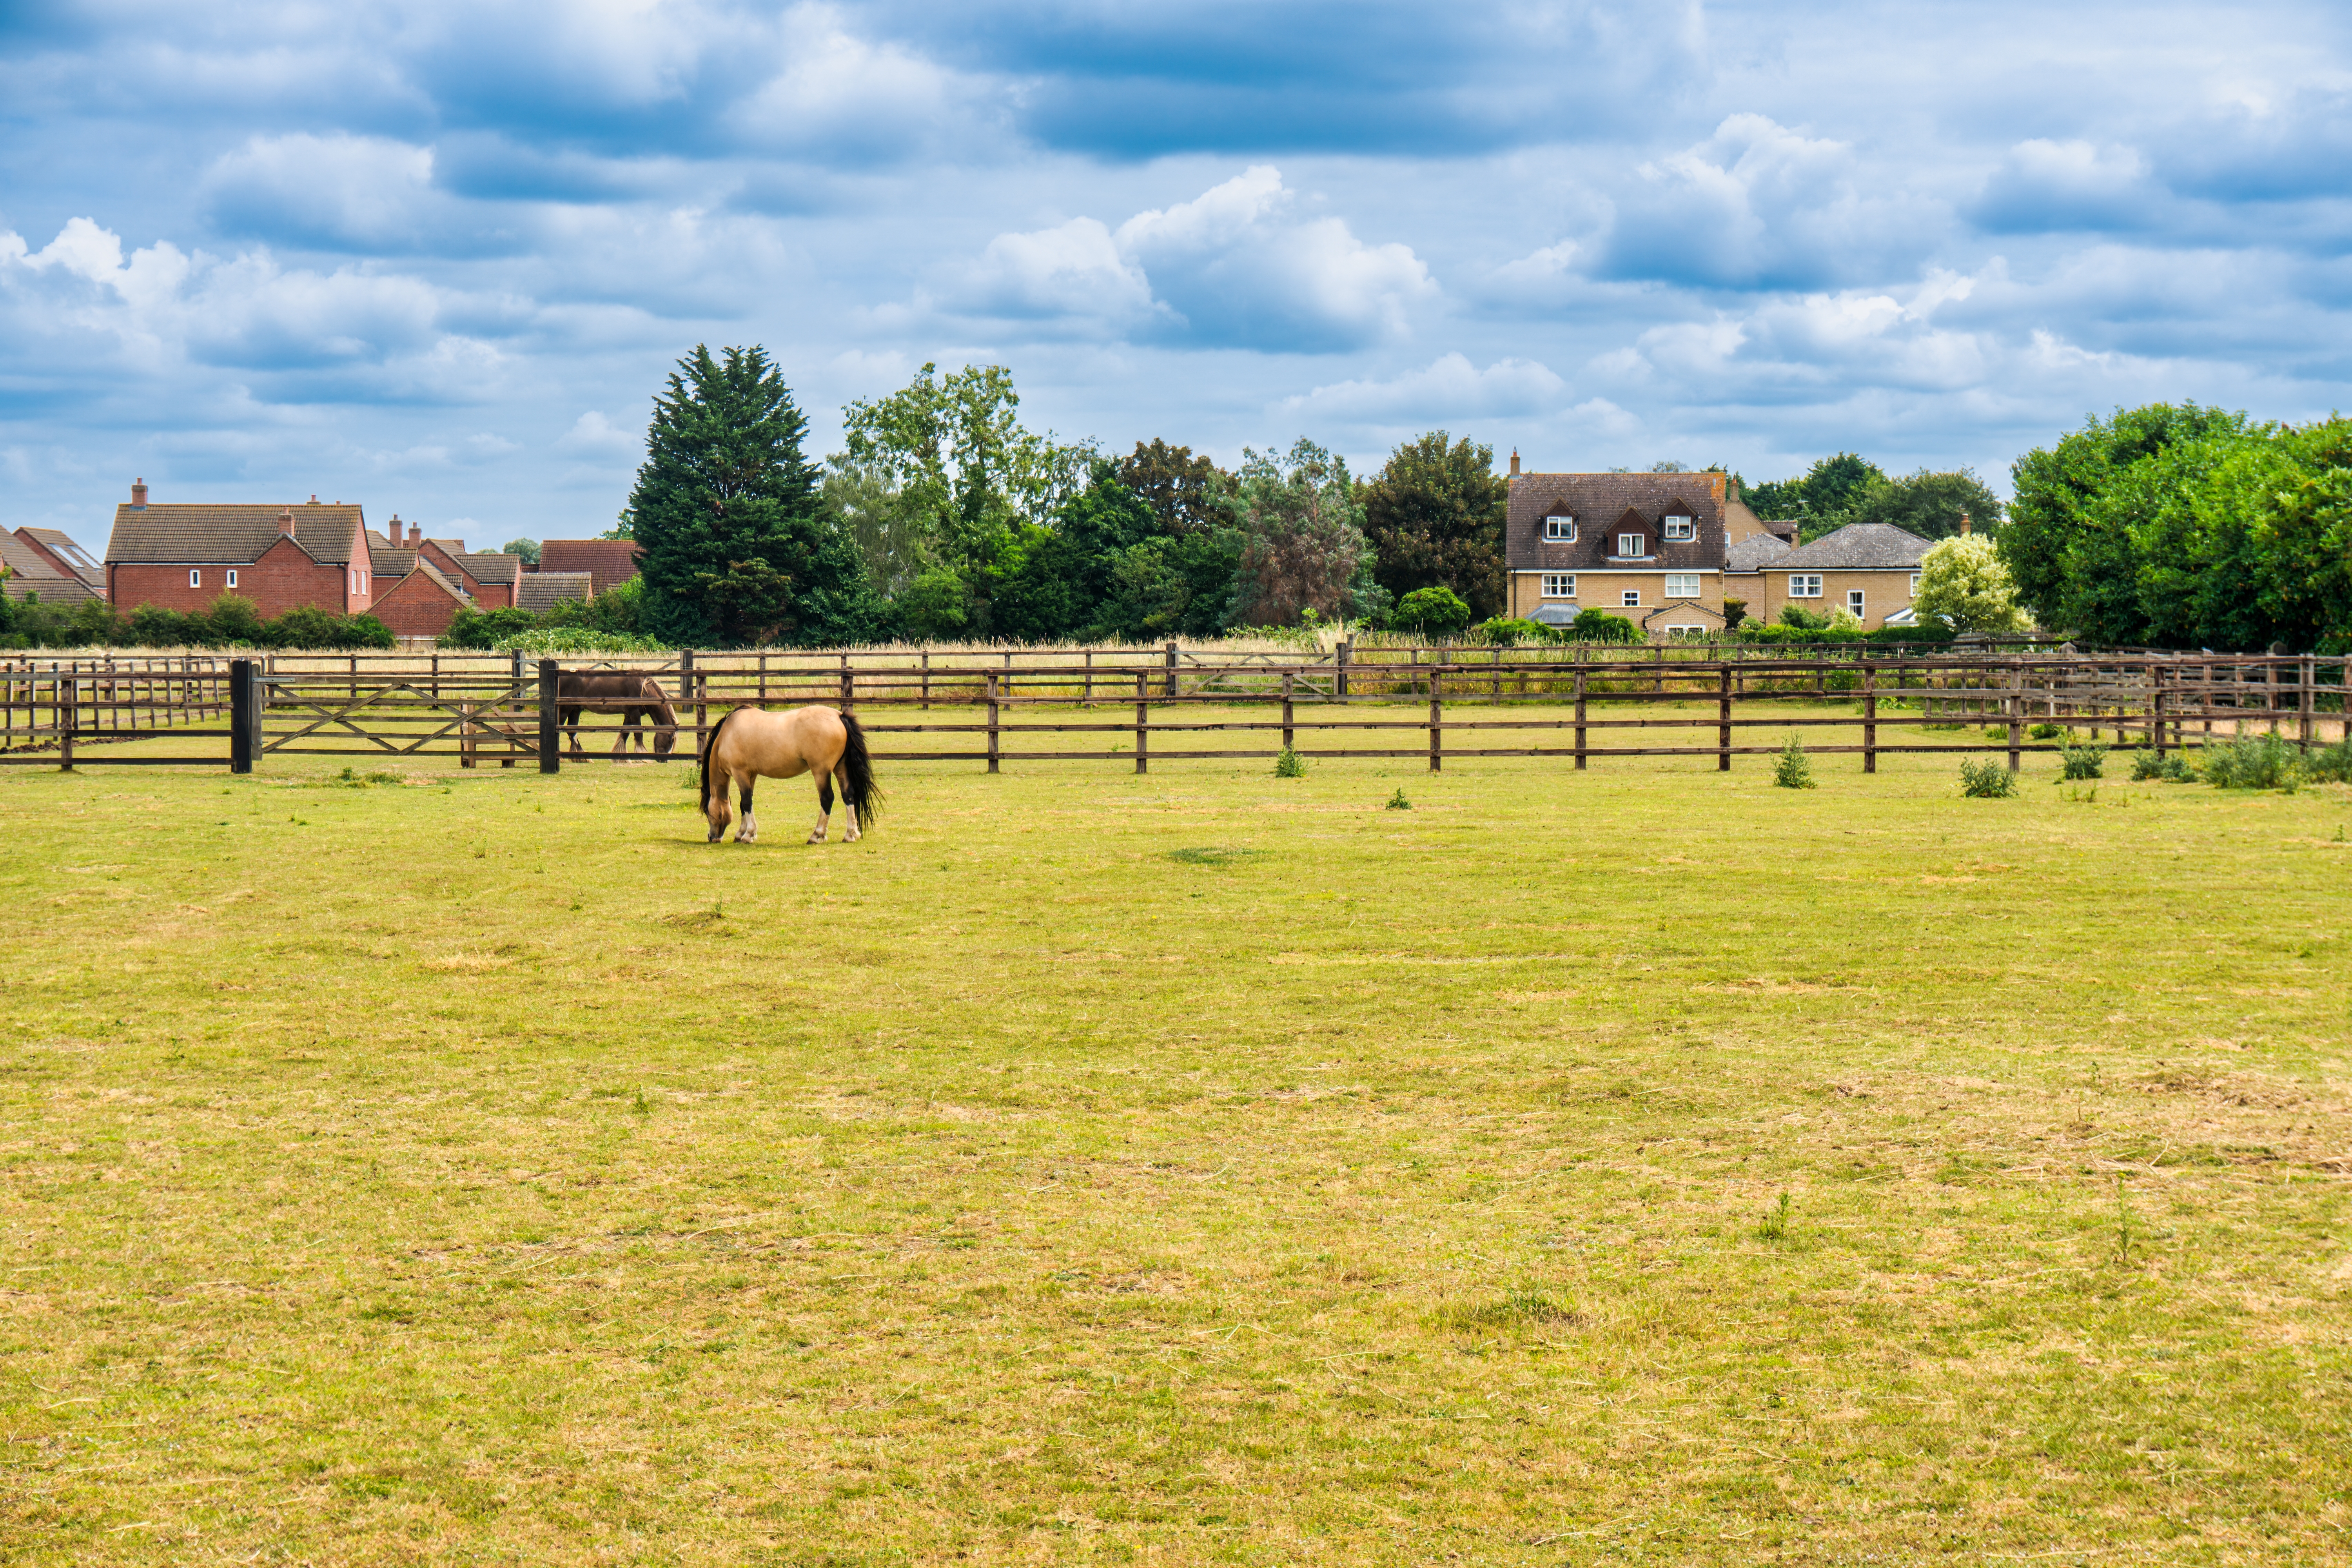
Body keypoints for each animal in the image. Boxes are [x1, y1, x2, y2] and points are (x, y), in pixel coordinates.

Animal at [557, 672, 679, 760]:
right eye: (671, 741)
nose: (664, 760)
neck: (644, 691)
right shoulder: (634, 713)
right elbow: (638, 735)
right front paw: (642, 757)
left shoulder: (629, 715)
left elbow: (625, 734)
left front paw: (621, 757)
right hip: (565, 710)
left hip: (575, 710)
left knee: (572, 733)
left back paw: (581, 758)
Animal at [700, 704, 879, 845]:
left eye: (708, 813)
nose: (712, 837)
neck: (727, 734)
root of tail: (840, 716)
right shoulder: (751, 775)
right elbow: (743, 804)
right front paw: (740, 834)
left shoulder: (740, 773)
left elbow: (746, 802)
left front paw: (748, 835)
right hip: (840, 768)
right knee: (848, 796)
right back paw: (850, 835)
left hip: (821, 771)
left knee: (827, 798)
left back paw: (816, 836)